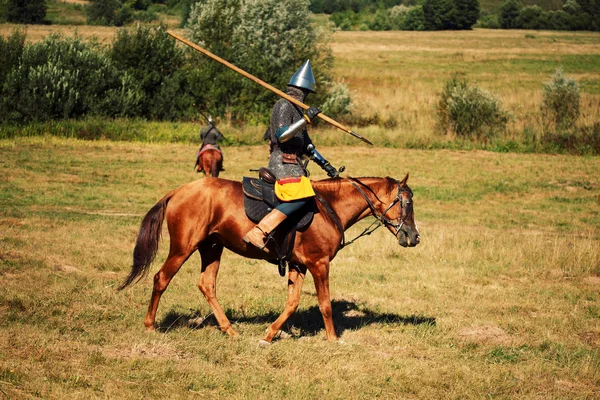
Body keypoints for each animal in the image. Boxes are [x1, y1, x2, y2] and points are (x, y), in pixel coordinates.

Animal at [119, 173, 420, 344]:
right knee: (161, 278)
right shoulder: (319, 264)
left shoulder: (299, 265)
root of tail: (179, 190)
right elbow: (324, 304)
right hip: (184, 247)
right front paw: (333, 340)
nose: (414, 237)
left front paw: (269, 335)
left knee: (207, 285)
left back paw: (230, 330)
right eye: (407, 202)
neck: (330, 207)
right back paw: (150, 326)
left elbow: (292, 303)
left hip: (212, 248)